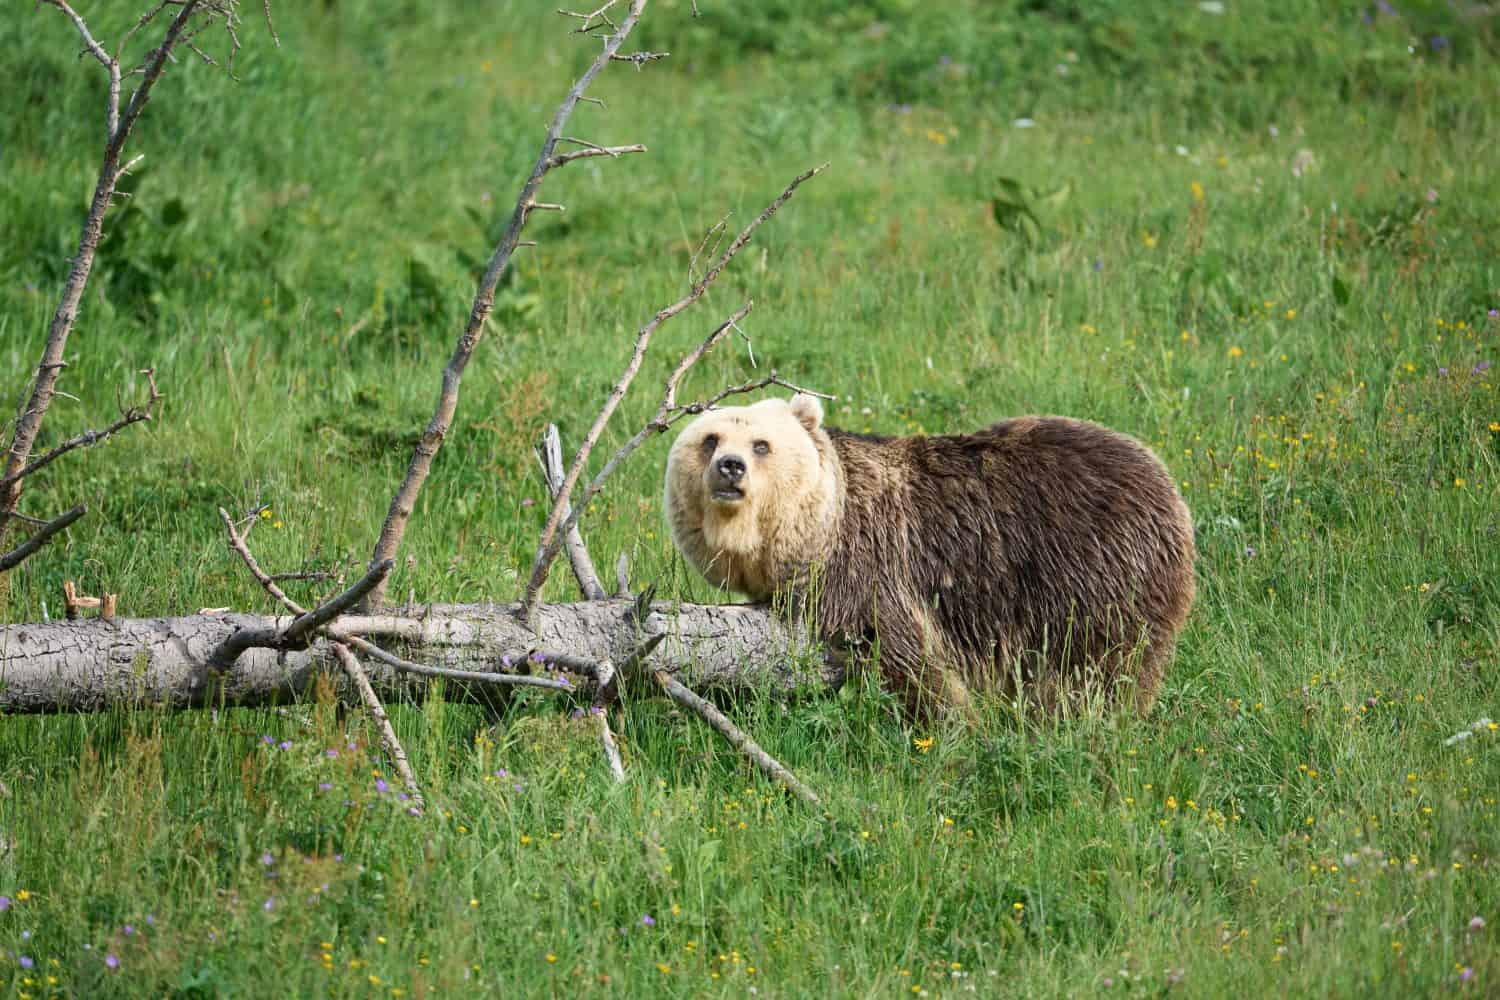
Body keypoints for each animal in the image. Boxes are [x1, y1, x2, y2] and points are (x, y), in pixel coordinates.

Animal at [664, 394, 1195, 718]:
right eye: (710, 438)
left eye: (762, 444)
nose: (730, 467)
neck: (815, 533)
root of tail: (1169, 485)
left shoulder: (870, 564)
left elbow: (906, 654)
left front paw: (954, 721)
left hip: (1095, 568)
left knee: (1099, 669)